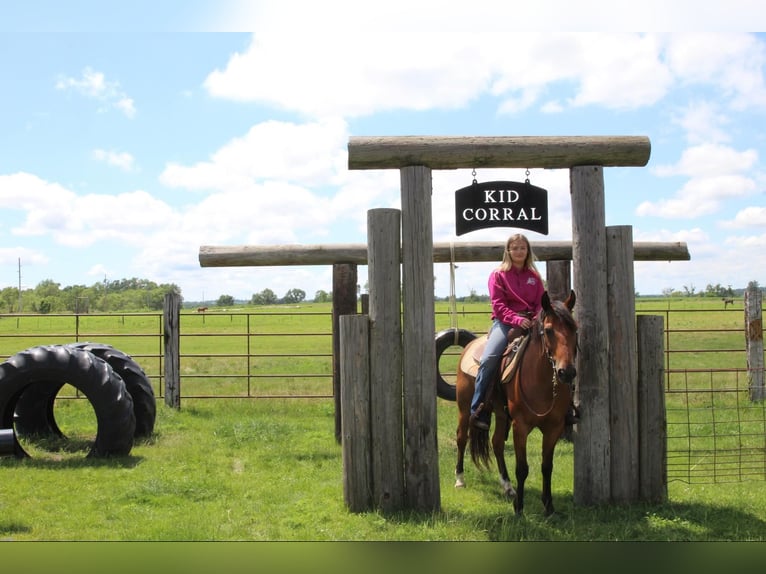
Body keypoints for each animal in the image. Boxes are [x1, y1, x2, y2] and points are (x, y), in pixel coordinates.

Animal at [456, 292, 576, 516]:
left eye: (575, 329)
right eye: (548, 330)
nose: (566, 372)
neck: (541, 380)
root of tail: (469, 346)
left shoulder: (554, 428)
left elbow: (547, 466)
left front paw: (548, 505)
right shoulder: (520, 426)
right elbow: (522, 468)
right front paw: (519, 507)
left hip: (501, 414)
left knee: (496, 443)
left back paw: (507, 486)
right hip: (464, 408)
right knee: (461, 438)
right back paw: (459, 479)